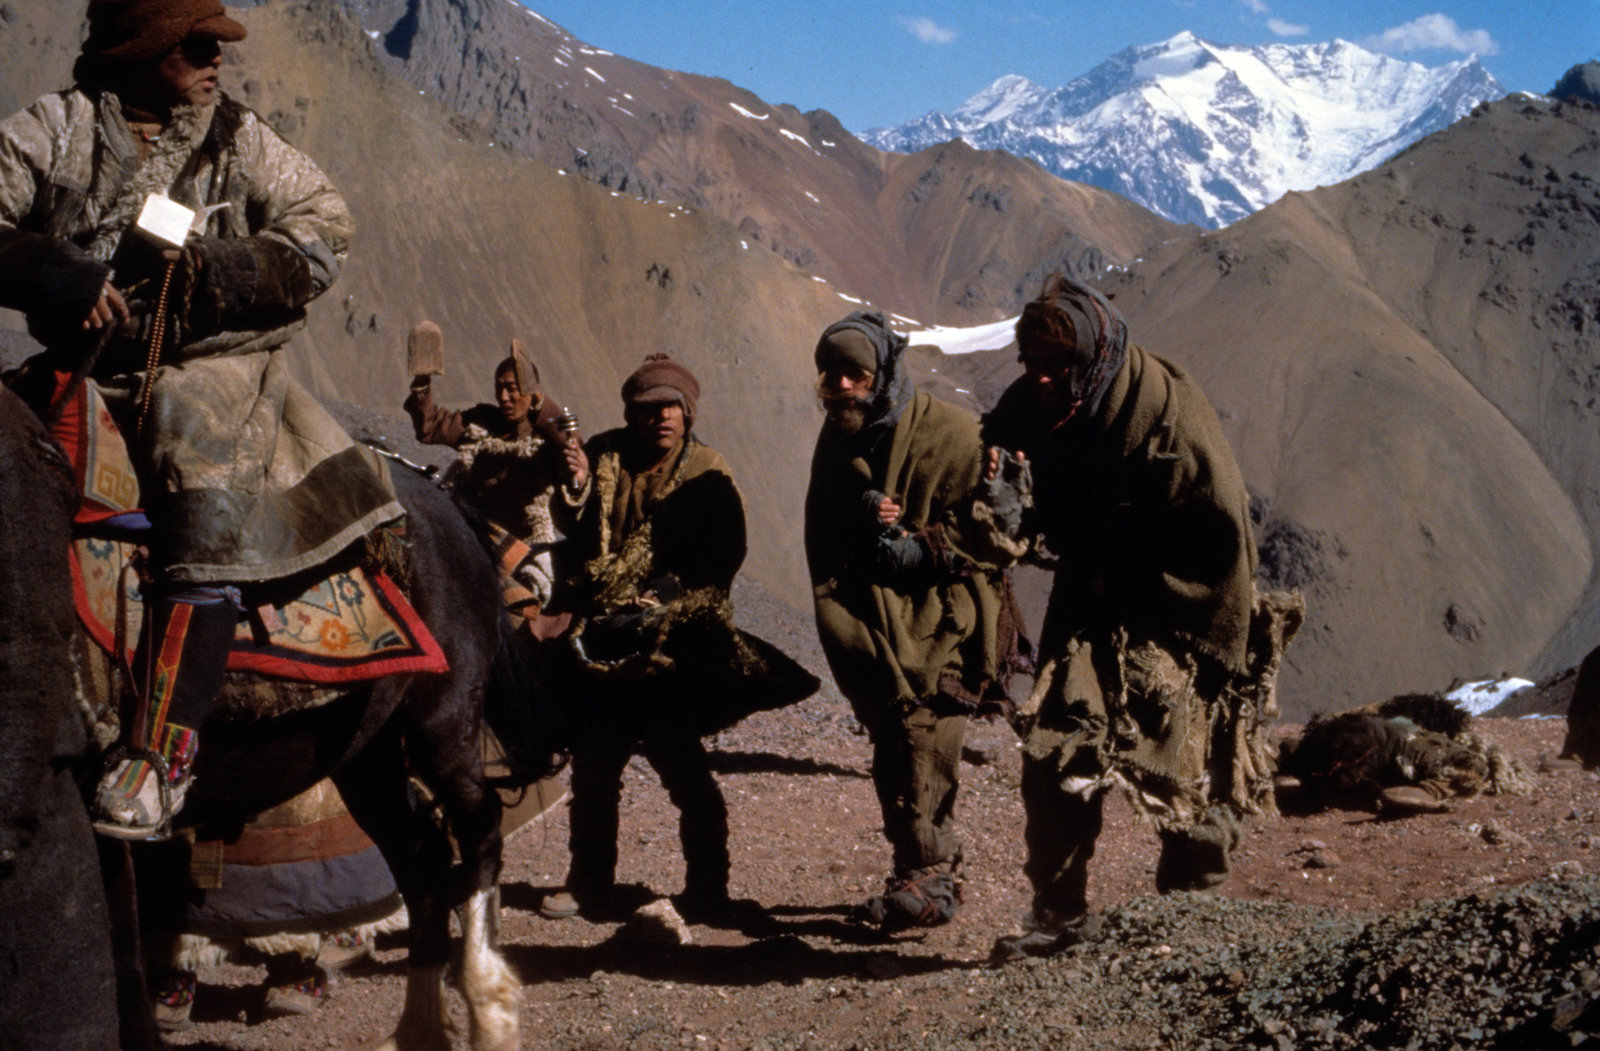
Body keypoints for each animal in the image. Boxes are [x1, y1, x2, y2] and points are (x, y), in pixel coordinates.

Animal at [0, 383, 532, 1051]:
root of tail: (446, 505)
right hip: (368, 755)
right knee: (424, 859)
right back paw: (419, 1030)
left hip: (443, 719)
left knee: (478, 824)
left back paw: (491, 1007)